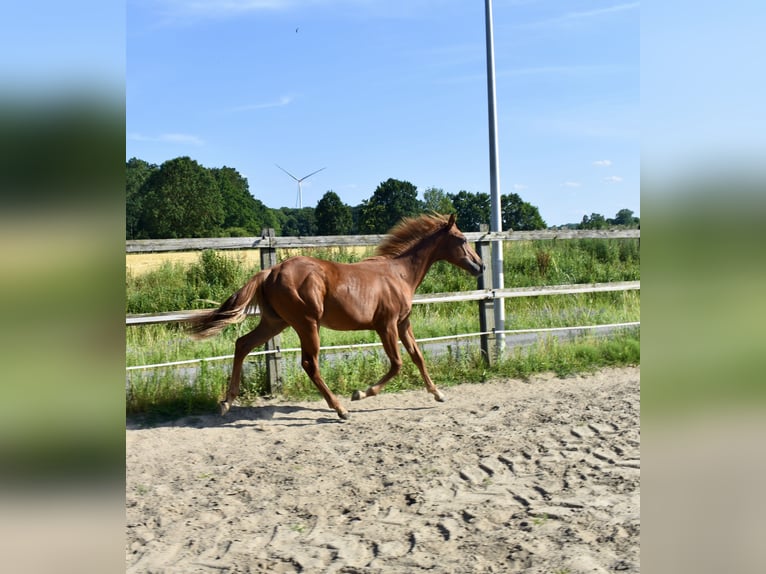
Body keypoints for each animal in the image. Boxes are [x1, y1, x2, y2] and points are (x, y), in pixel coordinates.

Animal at [188, 213, 484, 420]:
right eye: (462, 239)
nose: (479, 266)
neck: (399, 274)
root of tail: (271, 271)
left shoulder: (403, 323)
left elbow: (418, 356)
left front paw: (438, 393)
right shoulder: (386, 325)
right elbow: (398, 363)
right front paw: (360, 393)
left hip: (275, 322)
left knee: (242, 344)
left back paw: (227, 402)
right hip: (306, 324)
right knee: (309, 363)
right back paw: (340, 409)